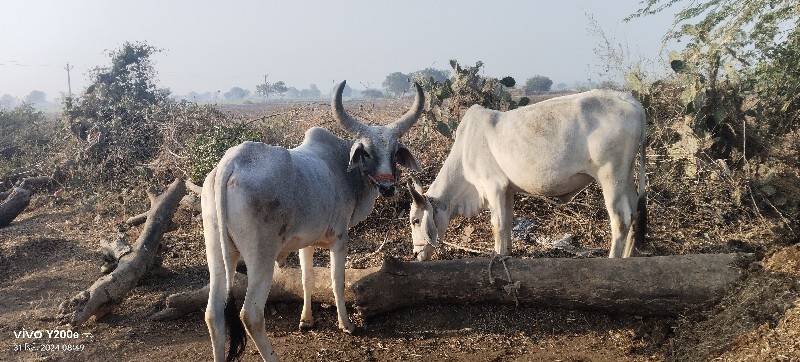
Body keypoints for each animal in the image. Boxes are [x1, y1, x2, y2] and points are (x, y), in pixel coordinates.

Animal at [202, 80, 424, 360]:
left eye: (394, 152)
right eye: (366, 153)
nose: (387, 187)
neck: (342, 167)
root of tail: (230, 164)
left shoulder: (305, 242)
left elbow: (307, 279)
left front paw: (306, 320)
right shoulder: (339, 237)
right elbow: (336, 281)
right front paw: (346, 324)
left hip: (219, 254)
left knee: (213, 314)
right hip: (260, 257)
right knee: (250, 314)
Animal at [410, 90, 648, 260]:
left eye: (415, 221)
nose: (415, 253)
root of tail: (632, 102)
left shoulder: (494, 187)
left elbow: (497, 224)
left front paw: (497, 255)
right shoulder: (507, 190)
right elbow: (507, 222)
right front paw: (506, 254)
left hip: (611, 176)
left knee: (621, 219)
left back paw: (614, 260)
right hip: (626, 176)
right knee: (635, 213)